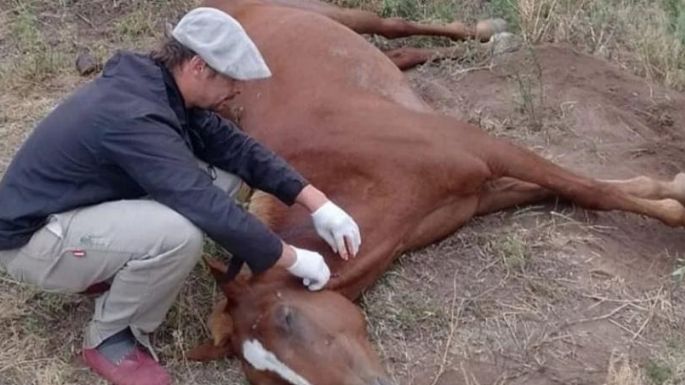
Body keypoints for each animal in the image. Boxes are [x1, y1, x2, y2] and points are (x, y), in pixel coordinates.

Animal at [186, 0, 684, 384]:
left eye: (288, 319)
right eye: (266, 377)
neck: (361, 171)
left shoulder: (486, 150)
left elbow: (590, 189)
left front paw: (675, 200)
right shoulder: (481, 194)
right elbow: (585, 190)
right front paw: (667, 190)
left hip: (332, 12)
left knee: (395, 25)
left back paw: (493, 34)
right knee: (404, 50)